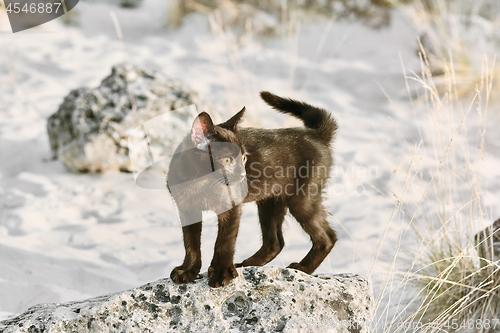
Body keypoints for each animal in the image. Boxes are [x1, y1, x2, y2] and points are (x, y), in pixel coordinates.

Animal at [166, 90, 338, 286]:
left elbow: (224, 242)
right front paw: (188, 270)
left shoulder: (231, 207)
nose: (242, 175)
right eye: (227, 160)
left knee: (327, 237)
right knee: (275, 242)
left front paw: (221, 273)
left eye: (243, 158)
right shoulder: (187, 209)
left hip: (302, 199)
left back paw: (302, 269)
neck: (198, 182)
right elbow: (191, 243)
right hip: (270, 201)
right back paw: (249, 264)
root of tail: (316, 134)